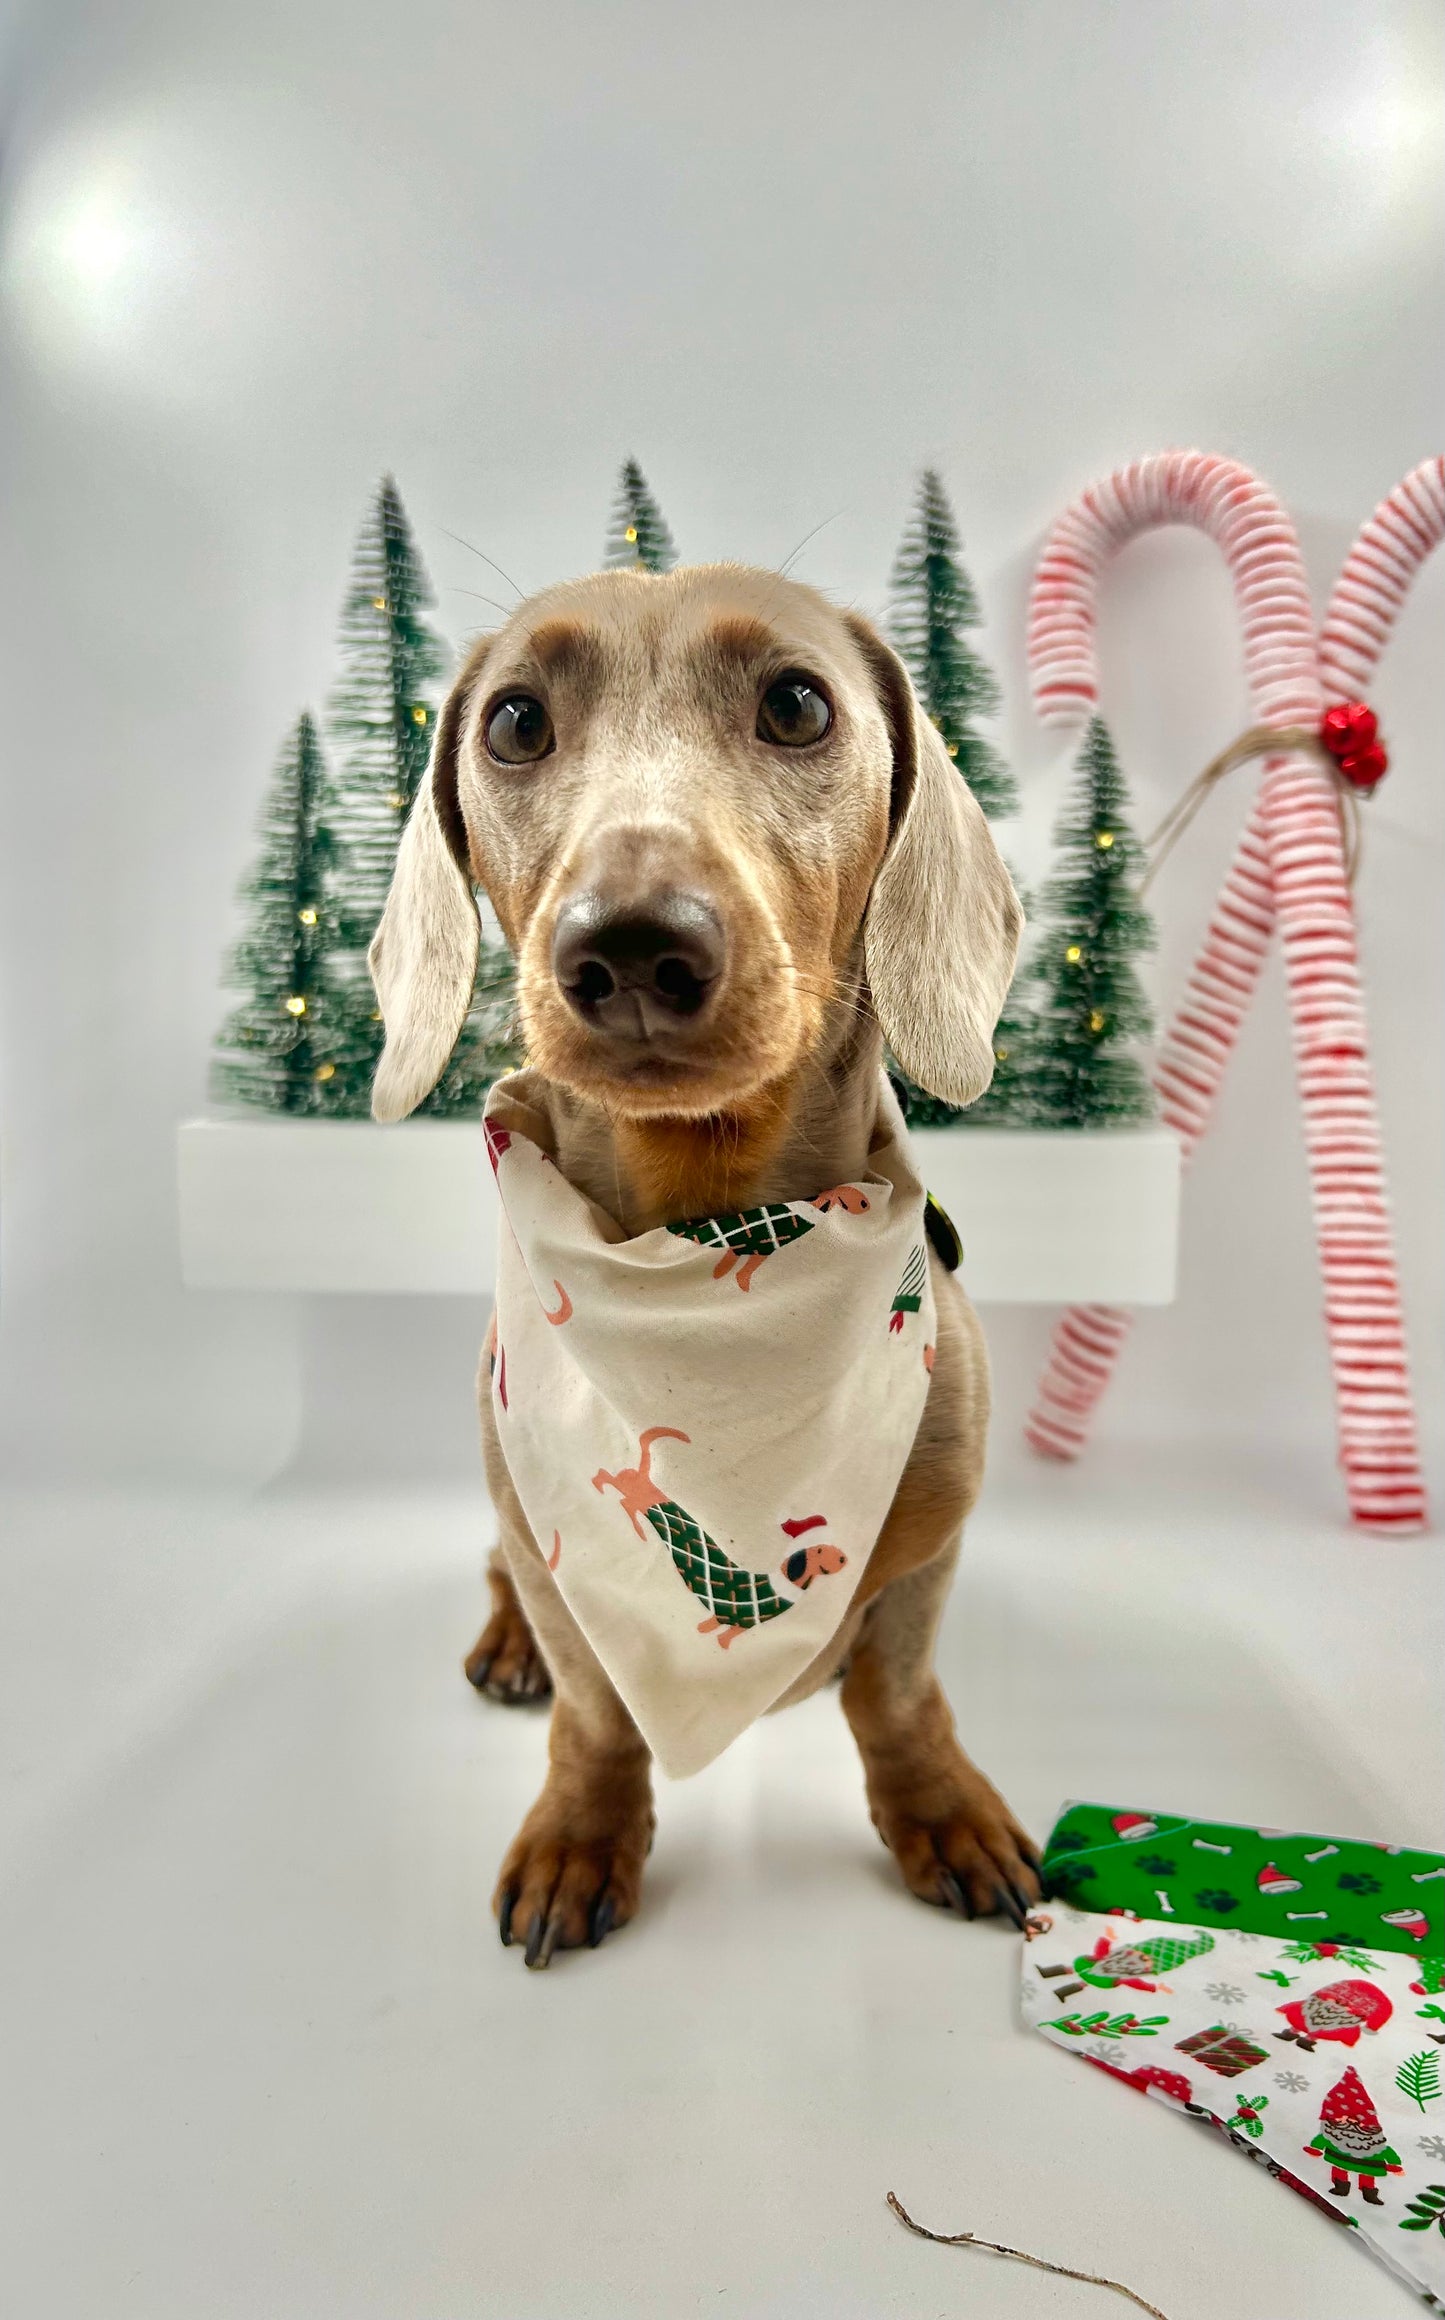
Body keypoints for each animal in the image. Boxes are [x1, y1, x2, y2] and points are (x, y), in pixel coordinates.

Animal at [361, 561, 1039, 1958]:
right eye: (514, 721)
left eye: (796, 704)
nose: (627, 946)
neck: (704, 1234)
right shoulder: (569, 1570)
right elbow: (595, 1713)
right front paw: (581, 1834)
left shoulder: (927, 1553)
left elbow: (896, 1697)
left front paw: (939, 1810)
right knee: (501, 1571)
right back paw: (505, 1643)